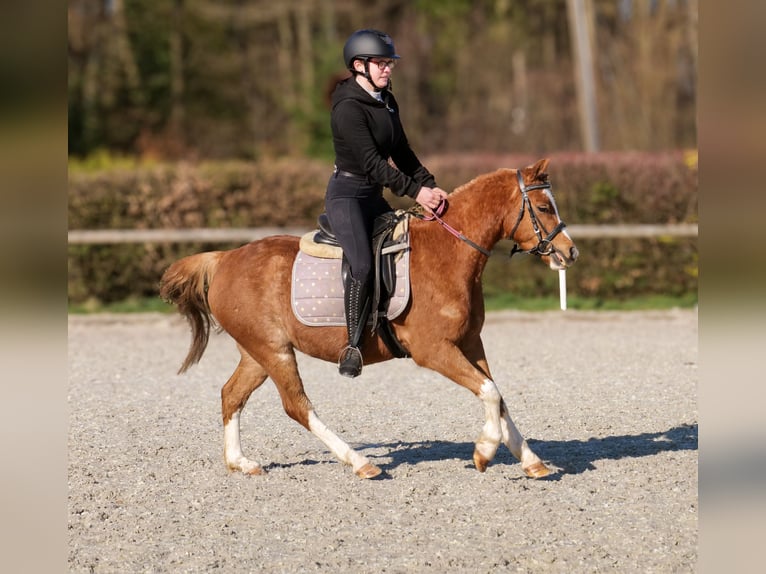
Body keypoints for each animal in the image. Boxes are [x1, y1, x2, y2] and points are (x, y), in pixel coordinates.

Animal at [160, 158, 578, 479]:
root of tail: (225, 258)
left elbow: (497, 395)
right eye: (544, 208)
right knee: (297, 406)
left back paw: (240, 462)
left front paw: (531, 461)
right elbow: (490, 392)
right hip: (273, 351)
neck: (449, 252)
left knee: (231, 394)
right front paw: (483, 451)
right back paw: (360, 463)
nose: (570, 252)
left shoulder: (470, 343)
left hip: (258, 351)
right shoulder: (433, 350)